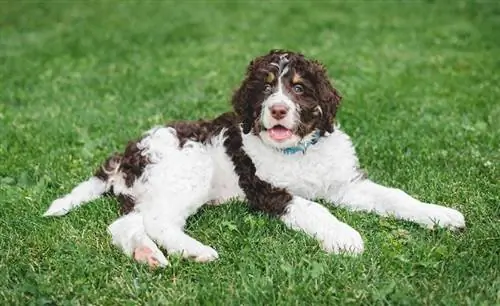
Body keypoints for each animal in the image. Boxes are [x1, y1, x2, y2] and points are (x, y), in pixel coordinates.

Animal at [45, 49, 466, 266]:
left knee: (125, 224)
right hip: (187, 171)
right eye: (265, 89)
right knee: (158, 221)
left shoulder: (345, 184)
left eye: (298, 88)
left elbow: (395, 196)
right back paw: (195, 251)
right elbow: (315, 209)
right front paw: (345, 237)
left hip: (150, 190)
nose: (278, 110)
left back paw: (147, 255)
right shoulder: (269, 190)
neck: (298, 151)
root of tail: (127, 154)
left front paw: (439, 215)